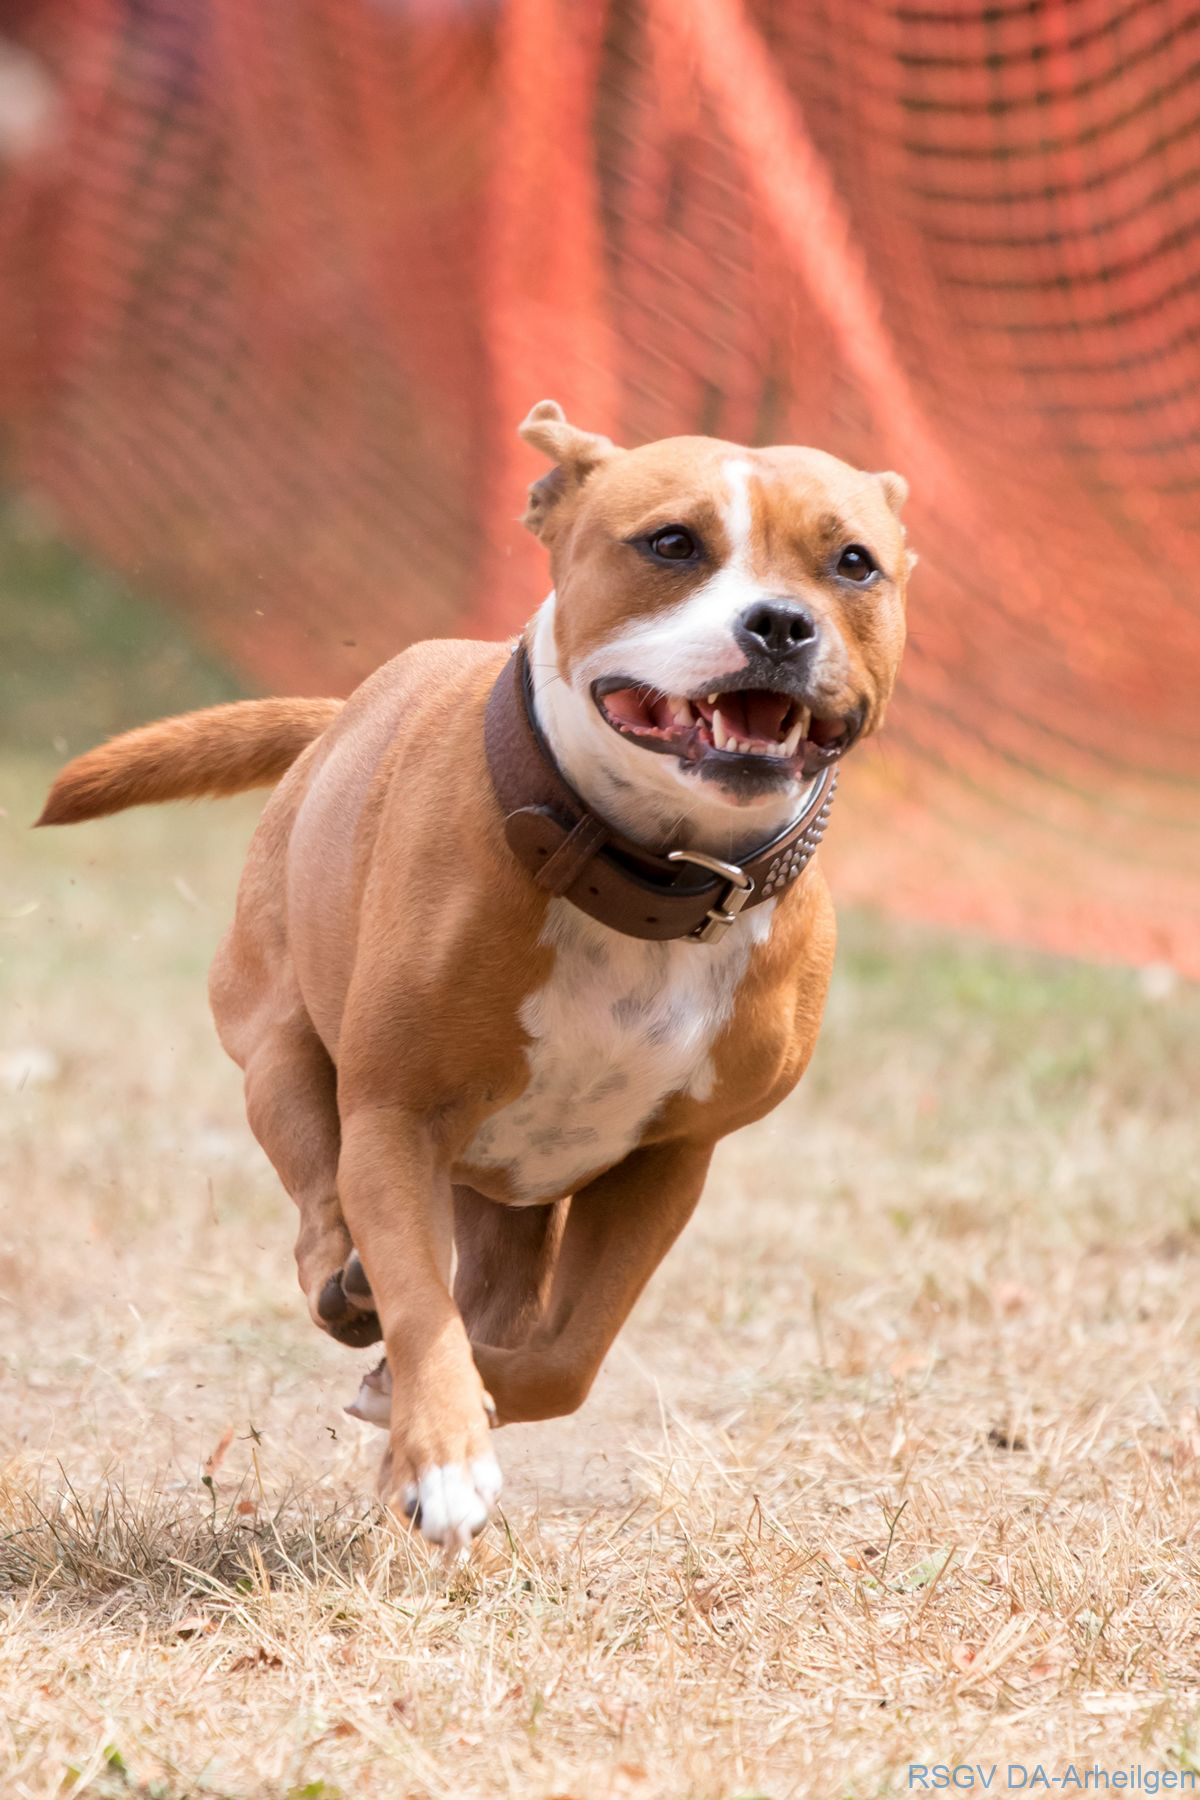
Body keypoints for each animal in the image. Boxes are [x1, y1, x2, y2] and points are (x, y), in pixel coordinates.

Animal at [39, 401, 913, 1546]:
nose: (780, 624)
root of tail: (338, 719)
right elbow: (422, 1302)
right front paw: (444, 1448)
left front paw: (425, 1418)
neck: (649, 875)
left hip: (511, 1201)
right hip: (280, 1050)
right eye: (672, 543)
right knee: (319, 1195)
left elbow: (568, 1355)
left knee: (493, 1297)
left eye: (853, 562)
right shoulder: (396, 1118)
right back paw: (346, 1284)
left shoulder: (667, 1162)